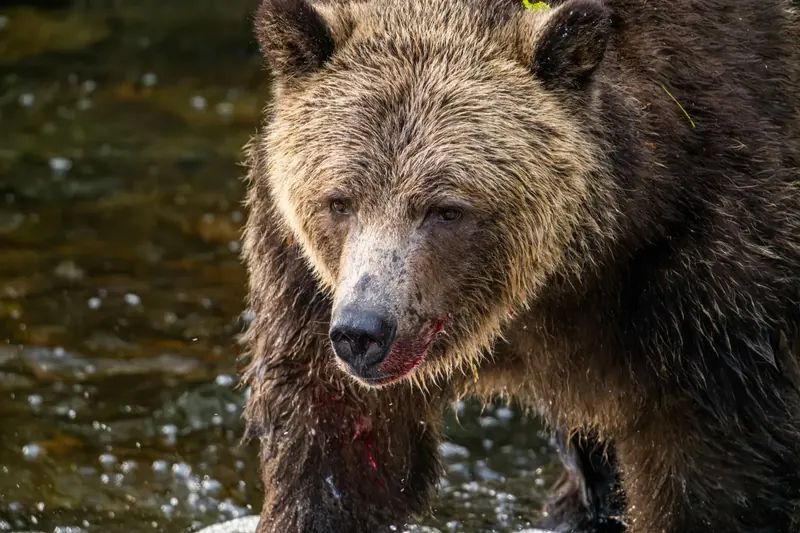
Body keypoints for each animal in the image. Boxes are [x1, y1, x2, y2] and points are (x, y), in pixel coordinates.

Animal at [239, 0, 800, 531]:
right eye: (340, 201)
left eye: (446, 209)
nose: (364, 331)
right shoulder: (309, 287)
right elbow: (339, 449)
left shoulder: (704, 277)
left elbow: (710, 468)